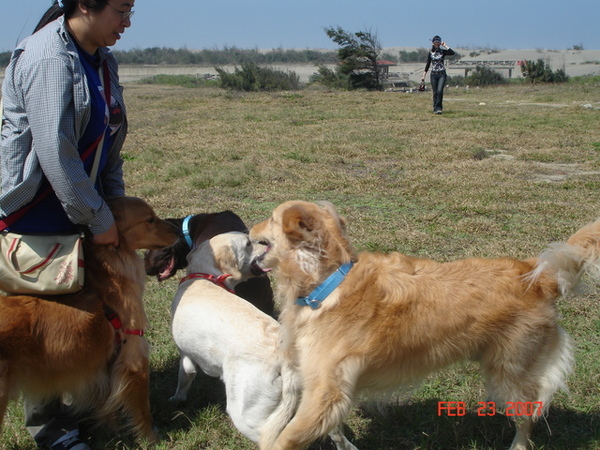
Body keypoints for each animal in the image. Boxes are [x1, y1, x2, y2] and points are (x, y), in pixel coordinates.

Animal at [0, 197, 178, 442]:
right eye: (150, 219)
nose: (178, 229)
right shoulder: (134, 356)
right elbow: (143, 410)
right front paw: (152, 438)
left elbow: (108, 406)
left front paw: (111, 430)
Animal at [169, 232, 354, 446]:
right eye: (248, 243)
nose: (267, 243)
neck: (205, 277)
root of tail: (287, 360)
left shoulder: (185, 356)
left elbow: (183, 379)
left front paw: (177, 399)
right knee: (335, 433)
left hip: (247, 415)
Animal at [251, 200, 600, 450]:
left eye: (270, 218)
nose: (250, 229)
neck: (328, 283)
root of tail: (534, 274)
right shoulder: (323, 386)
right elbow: (331, 430)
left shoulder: (326, 391)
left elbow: (287, 437)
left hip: (510, 374)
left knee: (528, 419)